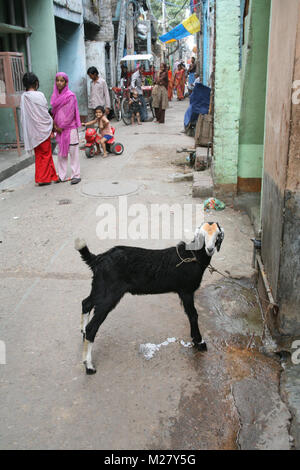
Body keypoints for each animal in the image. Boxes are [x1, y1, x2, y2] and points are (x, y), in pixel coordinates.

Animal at [76, 221, 224, 374]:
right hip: (109, 293)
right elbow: (193, 315)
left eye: (217, 235)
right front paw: (199, 342)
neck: (192, 256)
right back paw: (89, 366)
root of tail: (97, 259)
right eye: (203, 235)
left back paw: (83, 332)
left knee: (86, 303)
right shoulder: (186, 291)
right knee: (92, 327)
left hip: (100, 287)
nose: (210, 249)